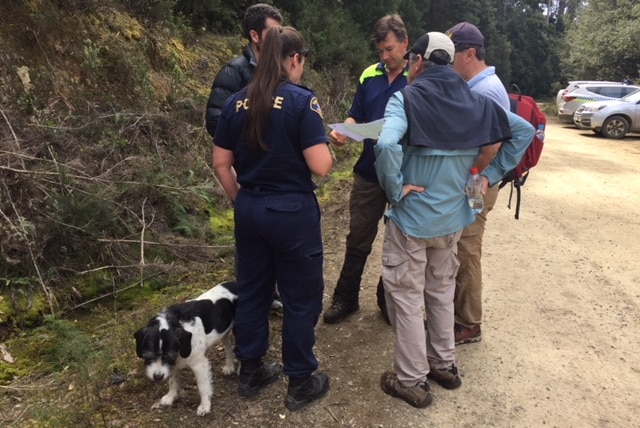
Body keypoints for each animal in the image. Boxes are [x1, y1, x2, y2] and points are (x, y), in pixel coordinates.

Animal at [134, 280, 239, 414]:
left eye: (169, 355)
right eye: (149, 354)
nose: (157, 377)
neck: (175, 321)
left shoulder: (199, 364)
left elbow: (202, 385)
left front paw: (205, 405)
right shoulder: (173, 364)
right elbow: (172, 380)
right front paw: (170, 397)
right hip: (224, 332)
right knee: (229, 347)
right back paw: (229, 367)